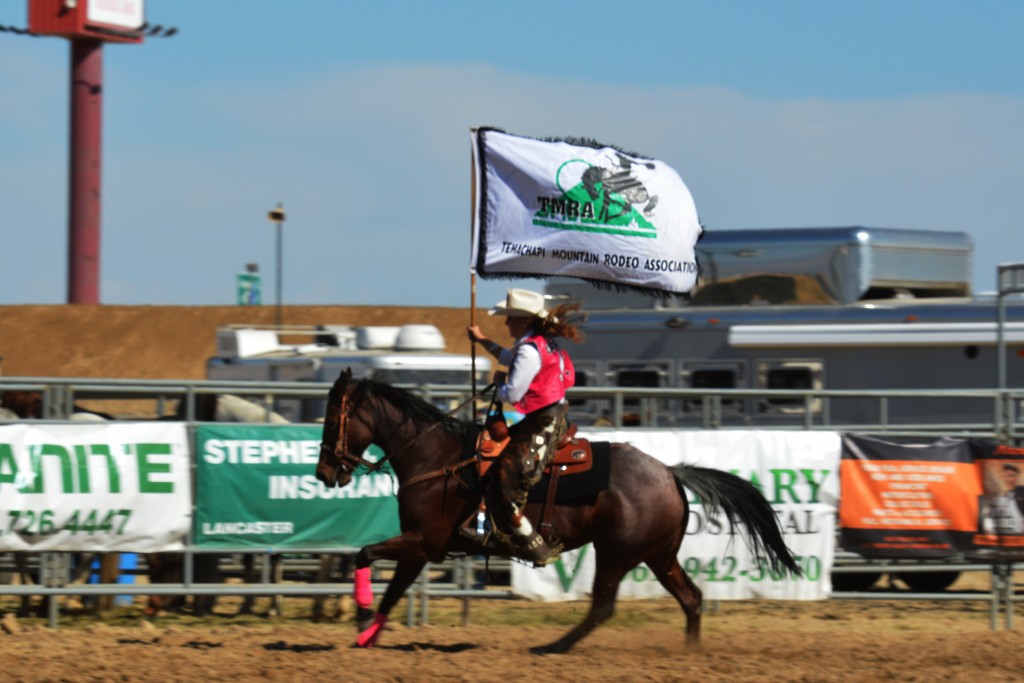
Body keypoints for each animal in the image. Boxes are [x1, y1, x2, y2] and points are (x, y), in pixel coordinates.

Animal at [315, 370, 802, 655]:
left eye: (331, 418)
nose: (324, 472)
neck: (437, 459)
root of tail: (669, 472)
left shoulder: (424, 543)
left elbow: (363, 554)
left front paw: (360, 619)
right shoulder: (421, 551)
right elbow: (393, 592)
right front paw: (366, 636)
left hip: (617, 553)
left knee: (603, 606)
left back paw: (552, 648)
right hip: (658, 555)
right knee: (691, 598)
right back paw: (690, 655)